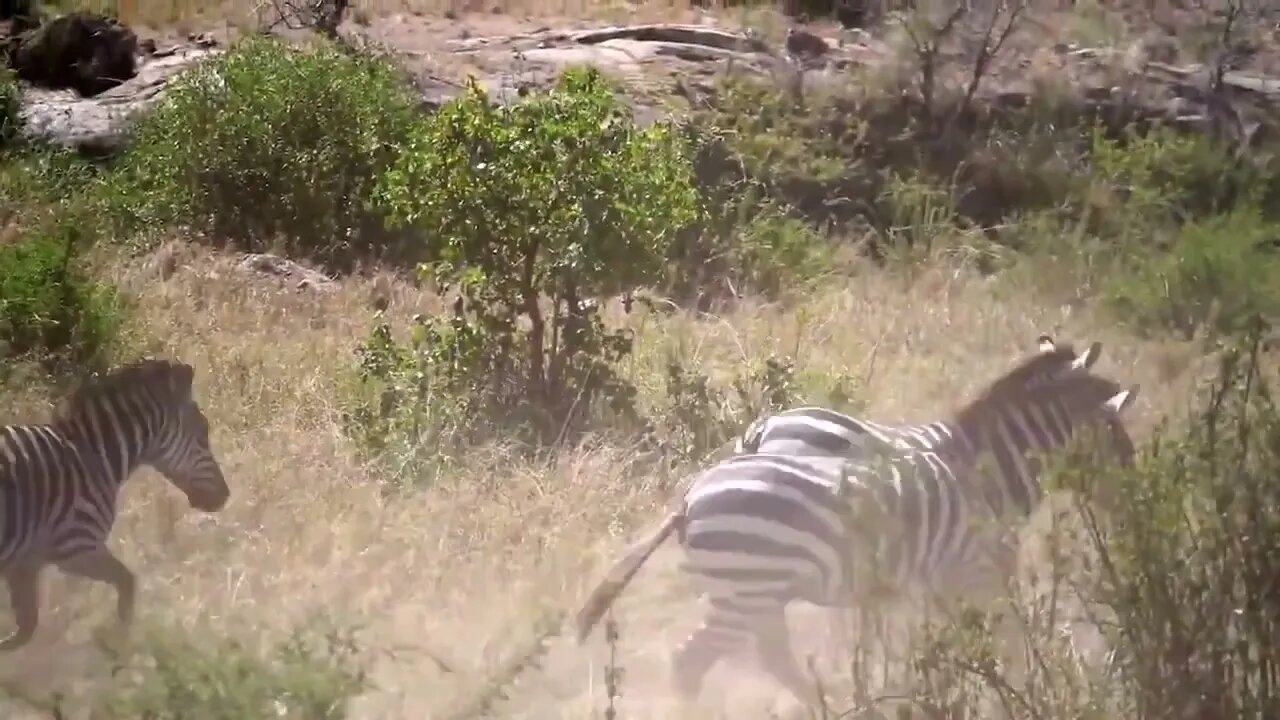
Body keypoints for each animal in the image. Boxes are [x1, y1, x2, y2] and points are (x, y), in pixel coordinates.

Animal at [0, 358, 227, 650]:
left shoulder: (24, 564)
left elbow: (25, 629)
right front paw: (121, 648)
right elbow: (127, 582)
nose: (225, 496)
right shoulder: (76, 547)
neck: (93, 456)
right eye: (203, 431)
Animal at [576, 348, 1136, 707]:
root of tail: (689, 499)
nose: (1131, 498)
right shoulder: (979, 572)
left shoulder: (941, 582)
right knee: (692, 662)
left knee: (768, 657)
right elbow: (1007, 643)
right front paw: (1017, 691)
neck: (988, 471)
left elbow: (954, 646)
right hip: (745, 592)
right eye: (1116, 432)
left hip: (755, 595)